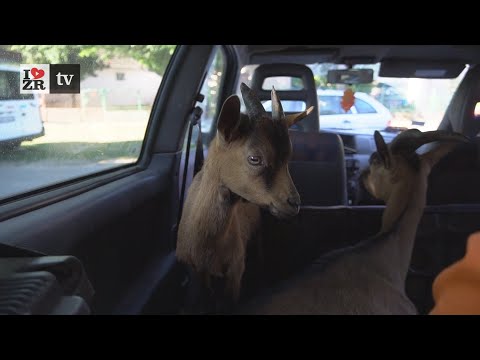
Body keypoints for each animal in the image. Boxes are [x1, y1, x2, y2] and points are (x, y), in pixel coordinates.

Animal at [177, 83, 316, 308]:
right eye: (254, 158)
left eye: (289, 157)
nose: (294, 203)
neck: (206, 243)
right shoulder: (196, 271)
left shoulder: (236, 269)